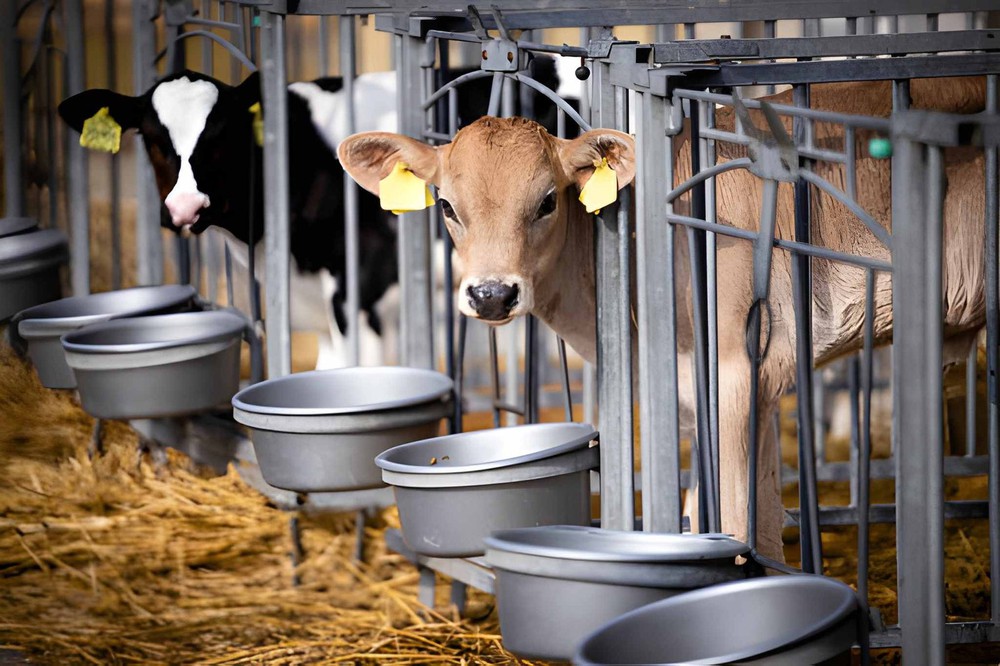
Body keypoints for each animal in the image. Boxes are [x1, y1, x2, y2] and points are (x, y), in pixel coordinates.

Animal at [337, 76, 988, 562]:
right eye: (447, 205)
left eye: (547, 201)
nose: (492, 295)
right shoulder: (748, 383)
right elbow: (759, 521)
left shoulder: (734, 369)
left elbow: (727, 520)